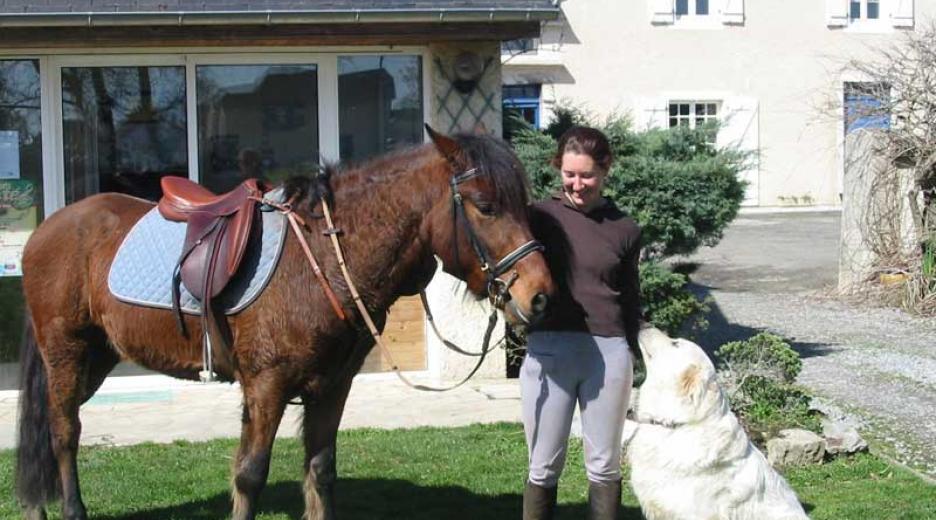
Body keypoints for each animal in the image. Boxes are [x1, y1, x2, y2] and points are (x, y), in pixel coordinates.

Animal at [14, 129, 552, 520]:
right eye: (486, 205)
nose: (540, 294)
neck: (322, 258)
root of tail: (49, 227)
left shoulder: (331, 387)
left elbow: (320, 470)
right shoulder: (267, 386)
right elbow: (251, 474)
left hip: (98, 356)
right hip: (66, 352)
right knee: (64, 431)